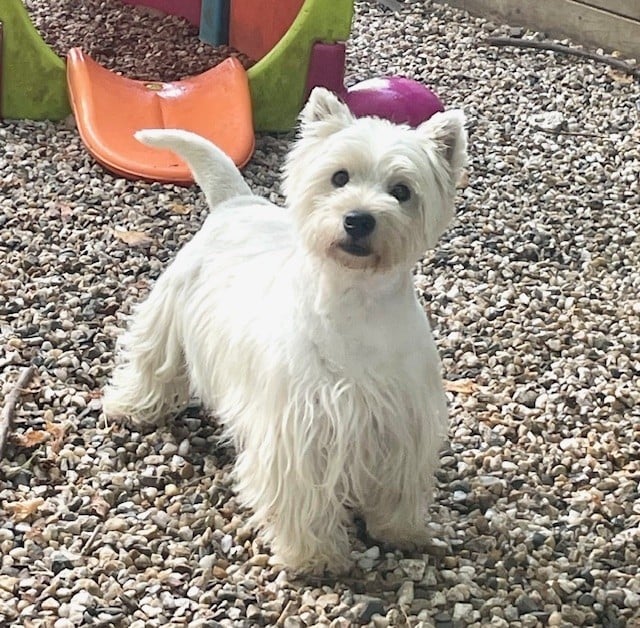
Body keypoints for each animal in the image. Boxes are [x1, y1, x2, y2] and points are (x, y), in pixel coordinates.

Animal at [104, 88, 464, 576]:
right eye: (339, 177)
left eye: (402, 191)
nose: (359, 219)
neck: (356, 303)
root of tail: (238, 203)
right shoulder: (298, 431)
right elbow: (303, 497)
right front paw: (316, 556)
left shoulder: (401, 424)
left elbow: (398, 487)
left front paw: (401, 532)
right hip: (169, 312)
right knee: (151, 362)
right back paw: (130, 407)